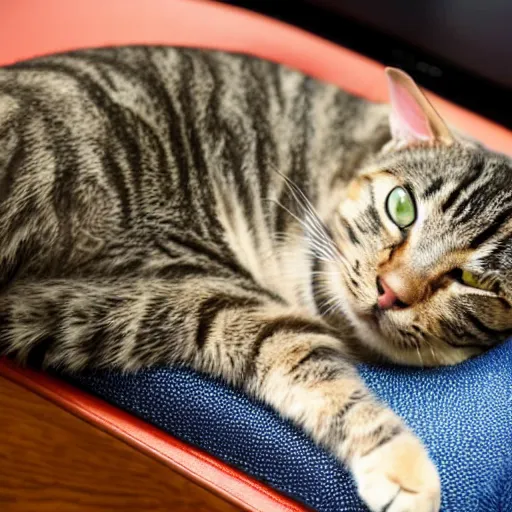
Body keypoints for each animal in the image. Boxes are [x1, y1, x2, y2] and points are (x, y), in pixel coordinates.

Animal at [1, 46, 512, 510]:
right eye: (401, 206)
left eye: (474, 280)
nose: (391, 292)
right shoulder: (204, 283)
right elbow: (317, 362)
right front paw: (402, 464)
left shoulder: (177, 291)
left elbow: (301, 362)